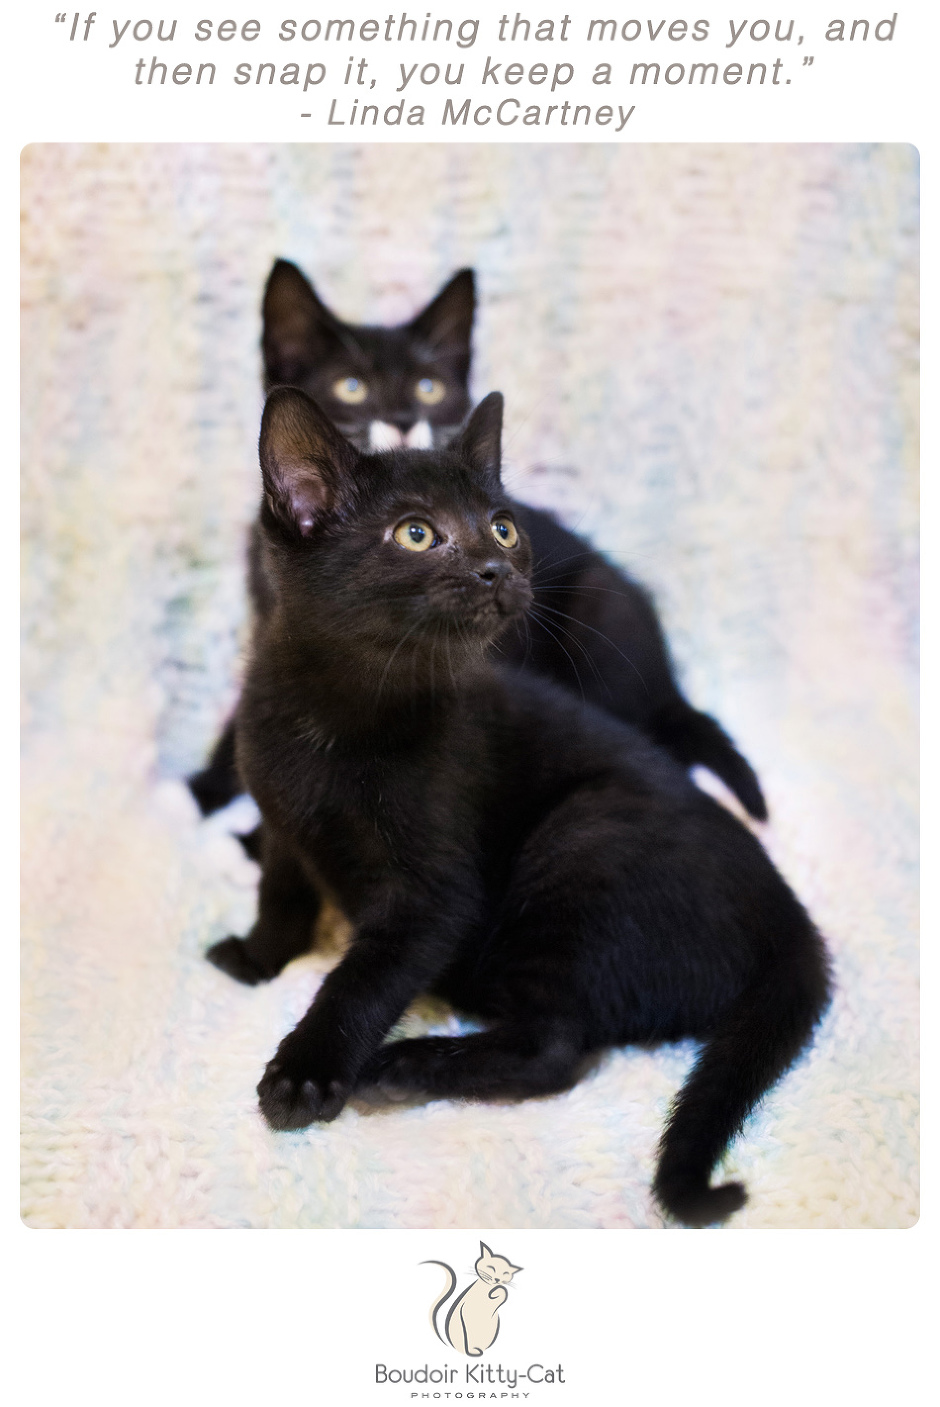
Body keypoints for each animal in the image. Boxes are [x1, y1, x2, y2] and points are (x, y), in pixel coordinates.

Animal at [188, 258, 765, 821]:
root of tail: (669, 683)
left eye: (430, 388)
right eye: (351, 387)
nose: (403, 420)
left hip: (603, 612)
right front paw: (206, 789)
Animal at [206, 388, 827, 1232]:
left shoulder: (434, 897)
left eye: (502, 524)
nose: (495, 566)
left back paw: (408, 1065)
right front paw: (255, 957)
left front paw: (306, 1072)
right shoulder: (280, 819)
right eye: (416, 532)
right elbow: (282, 896)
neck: (338, 716)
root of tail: (787, 913)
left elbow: (359, 980)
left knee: (558, 1050)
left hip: (580, 843)